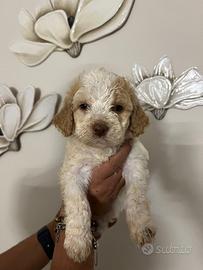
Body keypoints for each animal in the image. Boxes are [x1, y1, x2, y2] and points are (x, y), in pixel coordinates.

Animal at [53, 67, 155, 262]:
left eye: (117, 108)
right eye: (83, 106)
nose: (99, 127)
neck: (101, 151)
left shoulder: (135, 163)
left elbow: (137, 199)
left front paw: (142, 227)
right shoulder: (72, 173)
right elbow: (78, 204)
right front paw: (78, 243)